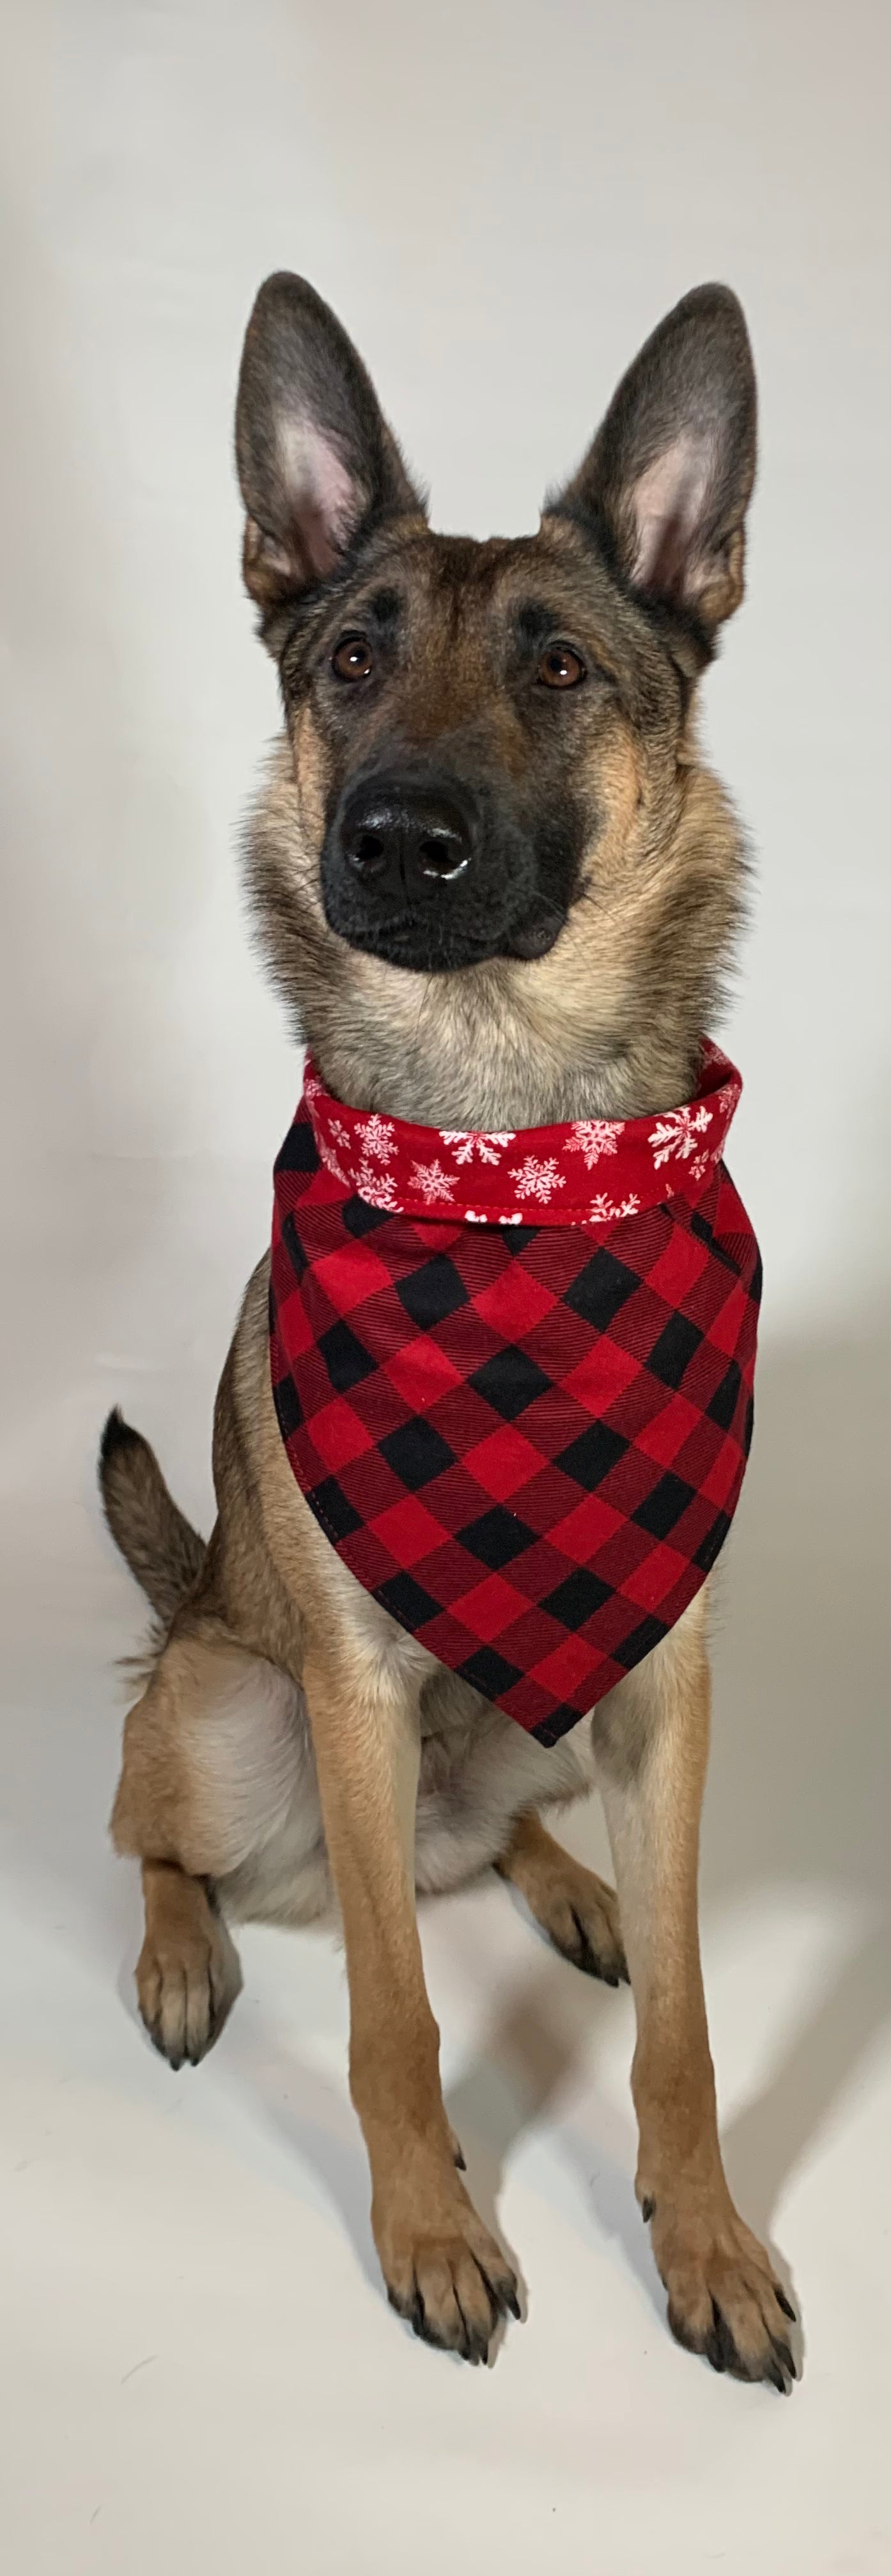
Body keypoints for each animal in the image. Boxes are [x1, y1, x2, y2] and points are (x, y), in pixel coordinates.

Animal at [101, 272, 798, 2380]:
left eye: (559, 668)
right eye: (348, 658)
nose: (397, 837)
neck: (503, 1167)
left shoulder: (666, 1682)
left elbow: (683, 2024)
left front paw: (704, 2241)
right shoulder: (342, 1687)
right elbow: (396, 2021)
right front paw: (429, 2231)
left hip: (538, 1733)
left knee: (491, 1845)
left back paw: (569, 1891)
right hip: (230, 1703)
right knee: (161, 1833)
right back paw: (183, 1953)